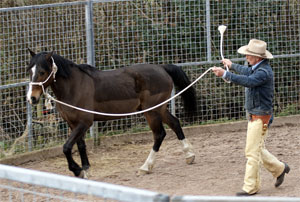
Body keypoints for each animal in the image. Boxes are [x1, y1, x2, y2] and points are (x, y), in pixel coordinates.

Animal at [25, 49, 198, 178]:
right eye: (30, 71)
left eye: (42, 71)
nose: (31, 98)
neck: (74, 87)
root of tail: (162, 68)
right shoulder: (73, 123)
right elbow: (80, 145)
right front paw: (86, 169)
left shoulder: (84, 123)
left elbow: (66, 147)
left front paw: (77, 170)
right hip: (160, 109)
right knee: (175, 123)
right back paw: (189, 155)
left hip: (152, 111)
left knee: (159, 134)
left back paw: (145, 167)